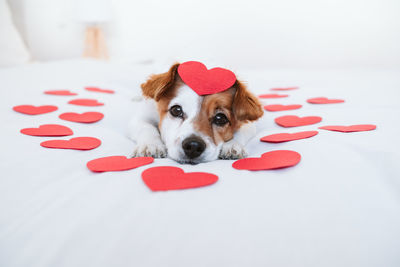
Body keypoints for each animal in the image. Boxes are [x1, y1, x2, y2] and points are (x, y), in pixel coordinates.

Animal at [129, 61, 262, 164]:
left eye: (220, 118)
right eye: (176, 110)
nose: (193, 146)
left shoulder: (248, 124)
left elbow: (241, 132)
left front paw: (232, 145)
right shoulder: (142, 116)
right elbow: (146, 127)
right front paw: (150, 145)